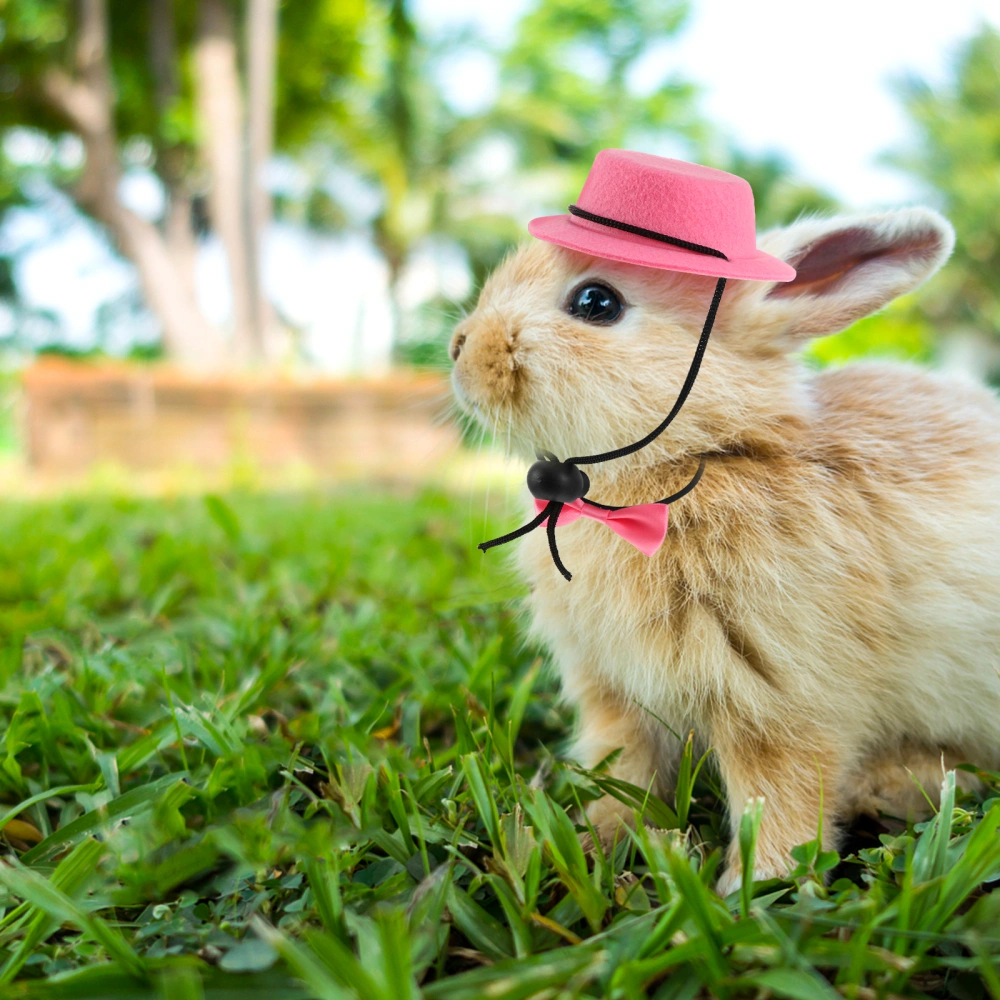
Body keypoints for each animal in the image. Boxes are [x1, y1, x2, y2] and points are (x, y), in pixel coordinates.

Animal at [450, 207, 1000, 896]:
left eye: (596, 302)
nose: (459, 349)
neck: (696, 459)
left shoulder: (783, 701)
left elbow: (780, 797)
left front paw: (755, 889)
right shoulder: (614, 695)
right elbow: (625, 774)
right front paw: (594, 839)